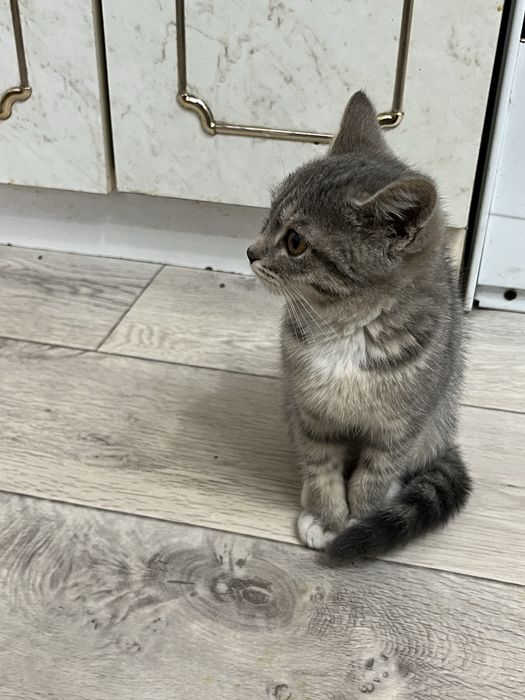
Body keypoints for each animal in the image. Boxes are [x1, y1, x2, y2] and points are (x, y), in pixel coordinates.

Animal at [246, 91, 472, 562]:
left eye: (295, 242)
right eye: (268, 217)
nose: (250, 252)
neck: (347, 329)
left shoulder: (400, 428)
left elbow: (373, 476)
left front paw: (358, 521)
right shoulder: (310, 411)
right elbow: (320, 465)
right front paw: (327, 515)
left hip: (435, 418)